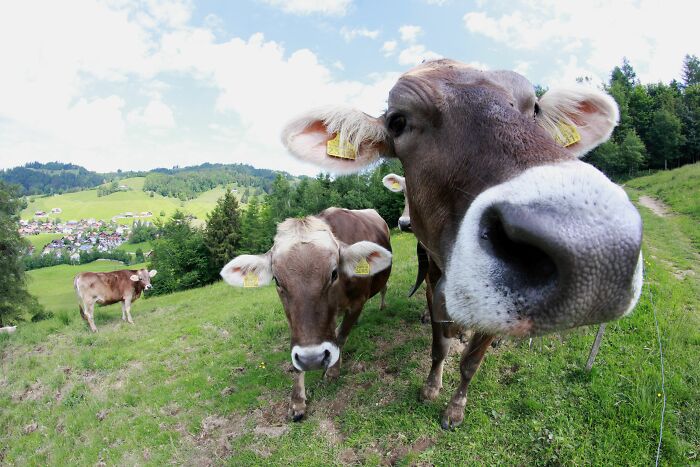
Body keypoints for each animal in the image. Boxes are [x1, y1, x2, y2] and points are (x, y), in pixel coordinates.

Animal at [220, 207, 392, 421]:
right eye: (277, 280)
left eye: (334, 273)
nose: (313, 359)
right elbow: (297, 360)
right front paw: (297, 402)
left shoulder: (358, 302)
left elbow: (341, 336)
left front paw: (332, 372)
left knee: (384, 289)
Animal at [280, 59, 644, 429]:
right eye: (398, 121)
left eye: (535, 109)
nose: (593, 245)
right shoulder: (431, 281)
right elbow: (439, 347)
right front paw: (430, 388)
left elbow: (471, 362)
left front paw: (455, 408)